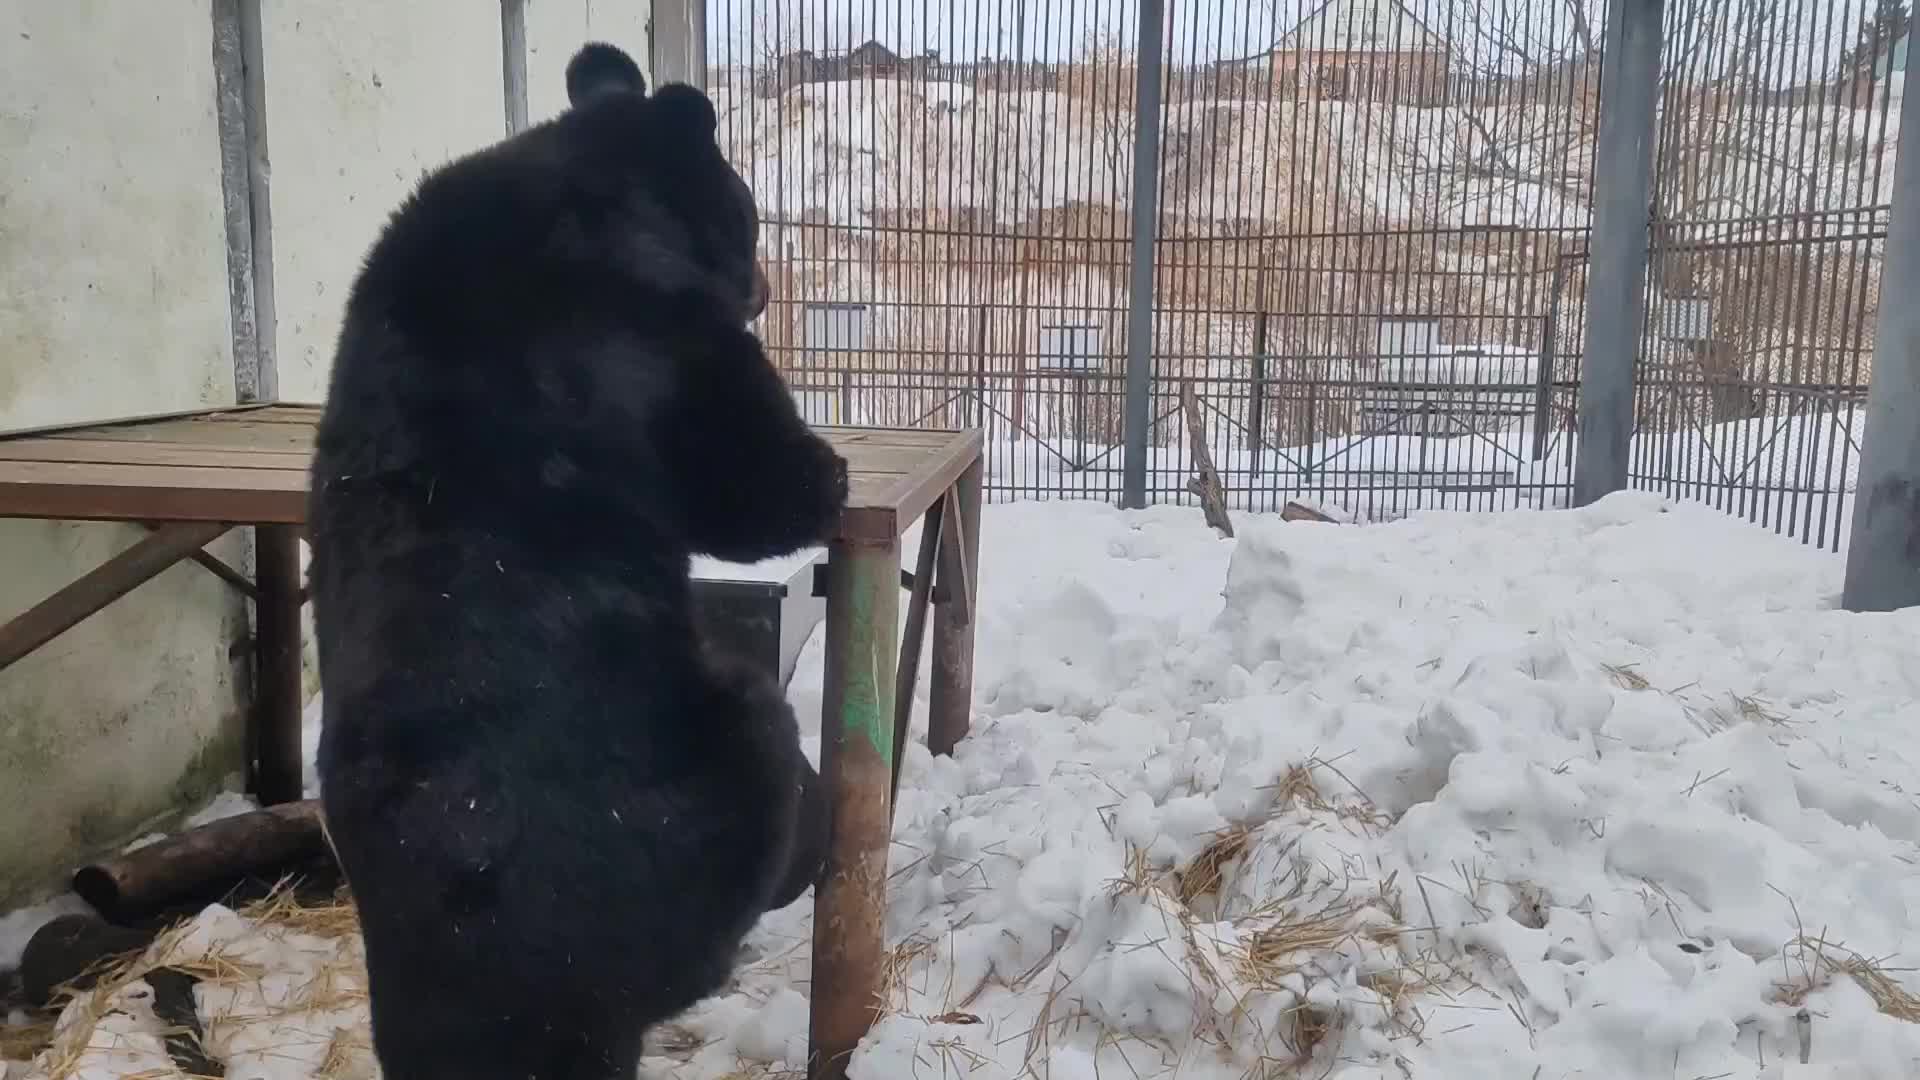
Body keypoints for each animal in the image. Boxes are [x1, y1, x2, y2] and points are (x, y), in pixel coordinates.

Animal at [309, 42, 848, 1076]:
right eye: (751, 212)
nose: (763, 286)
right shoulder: (652, 327)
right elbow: (744, 477)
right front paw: (827, 474)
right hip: (695, 781)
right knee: (758, 758)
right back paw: (802, 848)